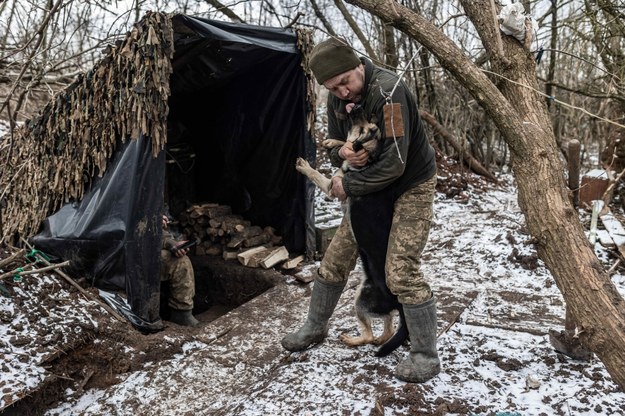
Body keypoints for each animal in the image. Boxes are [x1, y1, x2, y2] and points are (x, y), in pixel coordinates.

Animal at [294, 105, 408, 356]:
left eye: (365, 129)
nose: (357, 106)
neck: (367, 163)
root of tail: (398, 301)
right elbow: (344, 146)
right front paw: (332, 142)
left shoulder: (332, 186)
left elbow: (318, 175)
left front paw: (305, 166)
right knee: (387, 325)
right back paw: (380, 339)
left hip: (360, 300)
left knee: (369, 333)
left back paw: (352, 340)